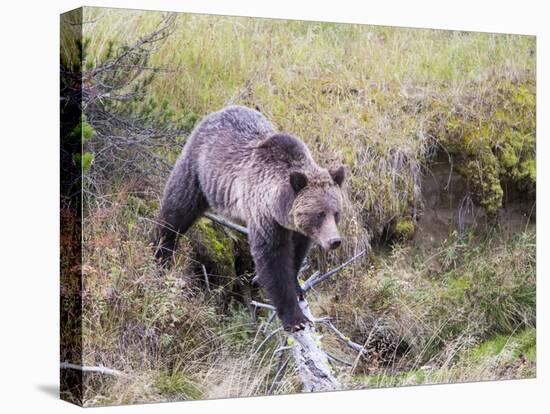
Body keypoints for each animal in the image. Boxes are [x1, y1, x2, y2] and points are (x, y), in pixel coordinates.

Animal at [155, 105, 344, 332]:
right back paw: (161, 252)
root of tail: (219, 111)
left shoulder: (297, 229)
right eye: (319, 213)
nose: (334, 241)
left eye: (336, 212)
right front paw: (295, 318)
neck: (280, 207)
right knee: (176, 210)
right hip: (197, 168)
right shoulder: (264, 215)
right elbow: (273, 260)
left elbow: (297, 253)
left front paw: (298, 287)